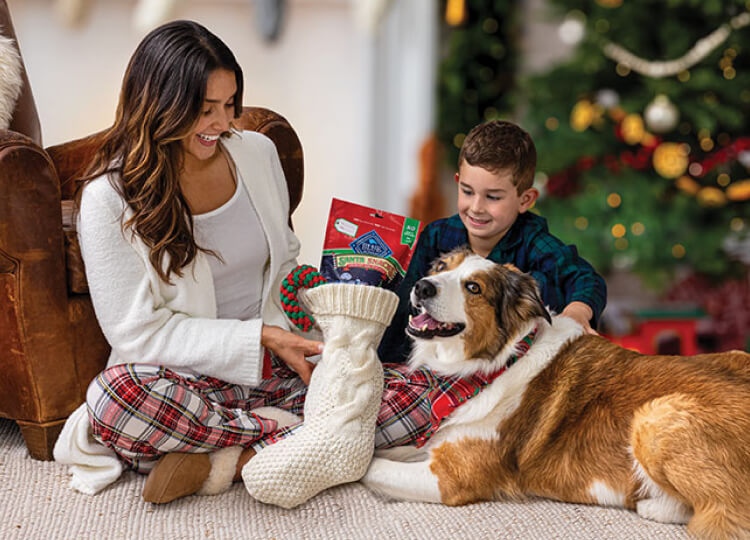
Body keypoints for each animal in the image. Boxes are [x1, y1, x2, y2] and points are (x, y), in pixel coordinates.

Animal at [362, 249, 748, 540]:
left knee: (724, 517)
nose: (422, 286)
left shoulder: (451, 477)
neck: (499, 361)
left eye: (473, 287)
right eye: (442, 268)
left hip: (656, 415)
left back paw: (652, 502)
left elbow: (370, 467)